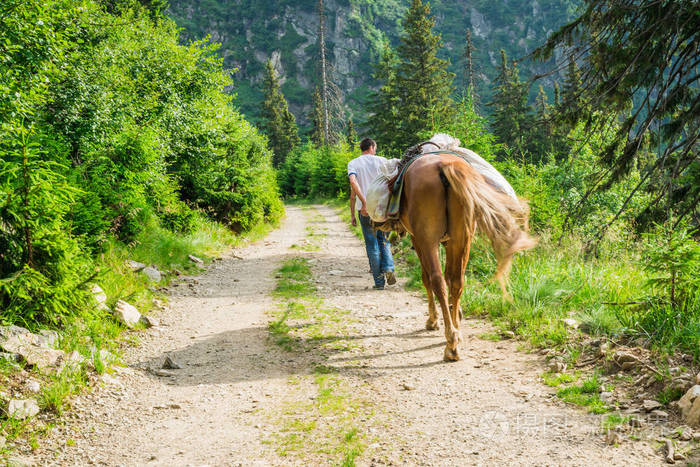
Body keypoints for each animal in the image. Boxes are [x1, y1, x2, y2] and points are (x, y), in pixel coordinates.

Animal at [400, 153, 536, 362]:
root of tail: (443, 165)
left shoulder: (418, 240)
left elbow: (426, 279)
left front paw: (433, 320)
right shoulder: (449, 242)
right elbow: (450, 277)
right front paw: (456, 314)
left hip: (428, 239)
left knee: (437, 280)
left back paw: (450, 343)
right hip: (462, 237)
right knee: (457, 281)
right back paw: (455, 335)